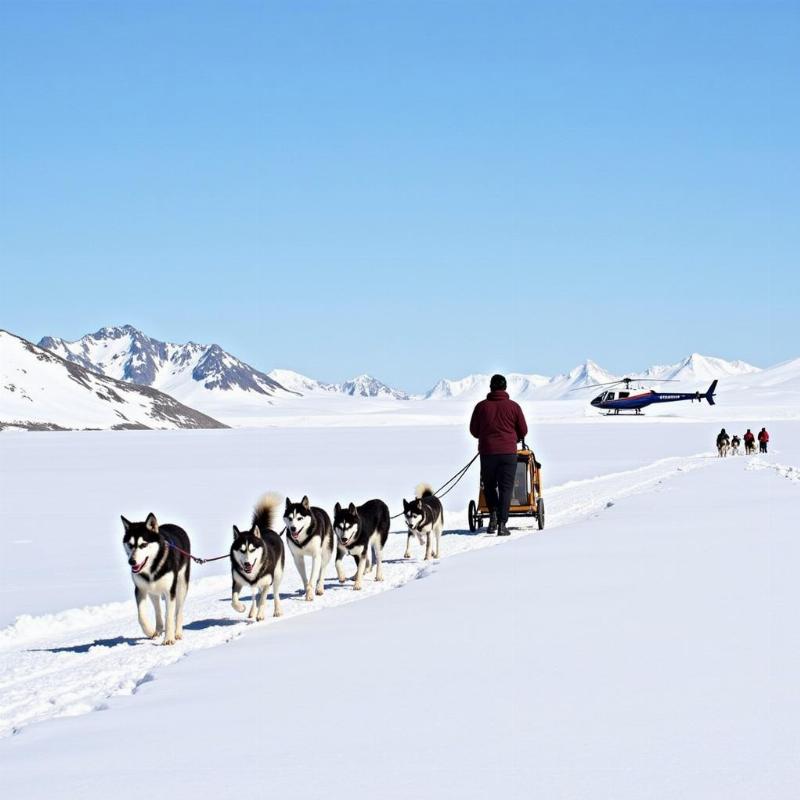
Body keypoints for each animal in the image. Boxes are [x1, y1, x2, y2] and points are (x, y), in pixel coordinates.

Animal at [121, 516, 191, 648]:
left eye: (143, 544)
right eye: (130, 544)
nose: (131, 561)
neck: (152, 568)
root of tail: (174, 526)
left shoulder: (170, 591)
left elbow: (169, 616)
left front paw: (168, 639)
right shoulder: (140, 589)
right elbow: (141, 616)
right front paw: (149, 631)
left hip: (181, 586)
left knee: (178, 611)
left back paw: (177, 633)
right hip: (152, 591)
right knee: (158, 610)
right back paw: (157, 630)